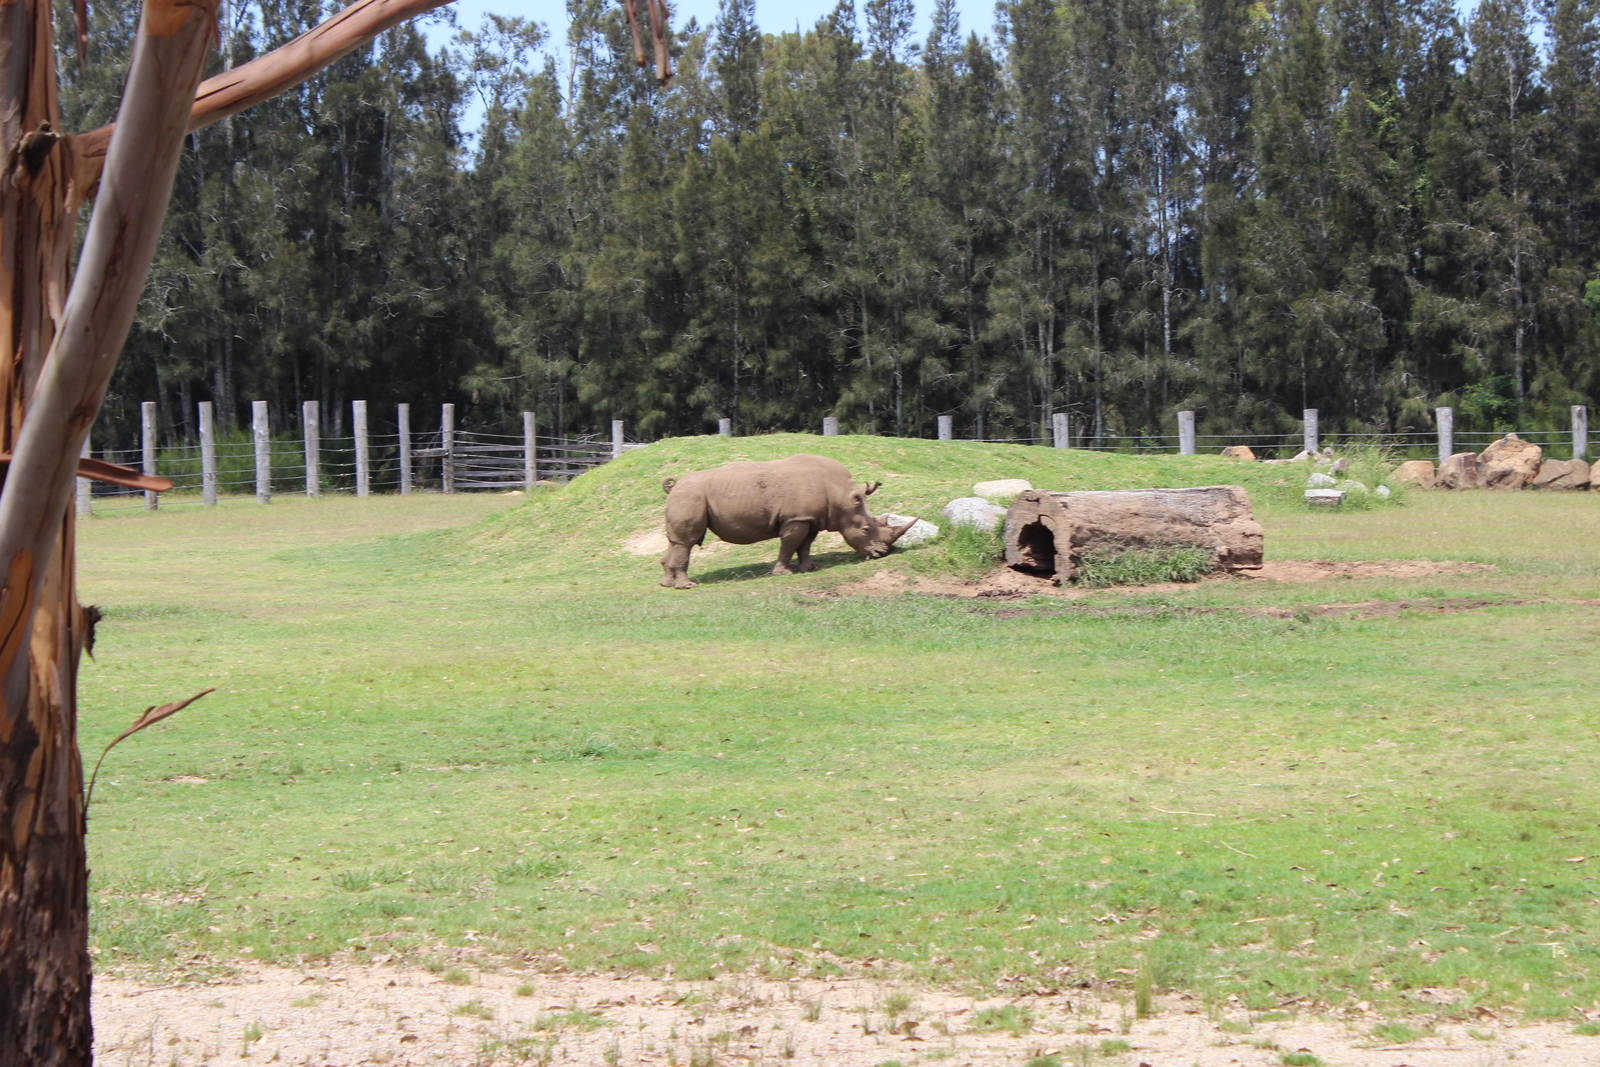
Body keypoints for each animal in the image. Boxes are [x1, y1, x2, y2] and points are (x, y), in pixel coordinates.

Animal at [660, 454, 919, 588]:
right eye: (866, 529)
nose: (882, 554)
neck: (840, 496)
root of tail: (675, 486)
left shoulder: (811, 518)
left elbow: (805, 545)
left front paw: (810, 569)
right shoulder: (796, 518)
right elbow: (790, 543)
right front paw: (783, 573)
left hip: (686, 497)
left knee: (676, 541)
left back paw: (667, 585)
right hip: (690, 496)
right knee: (686, 542)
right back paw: (687, 586)